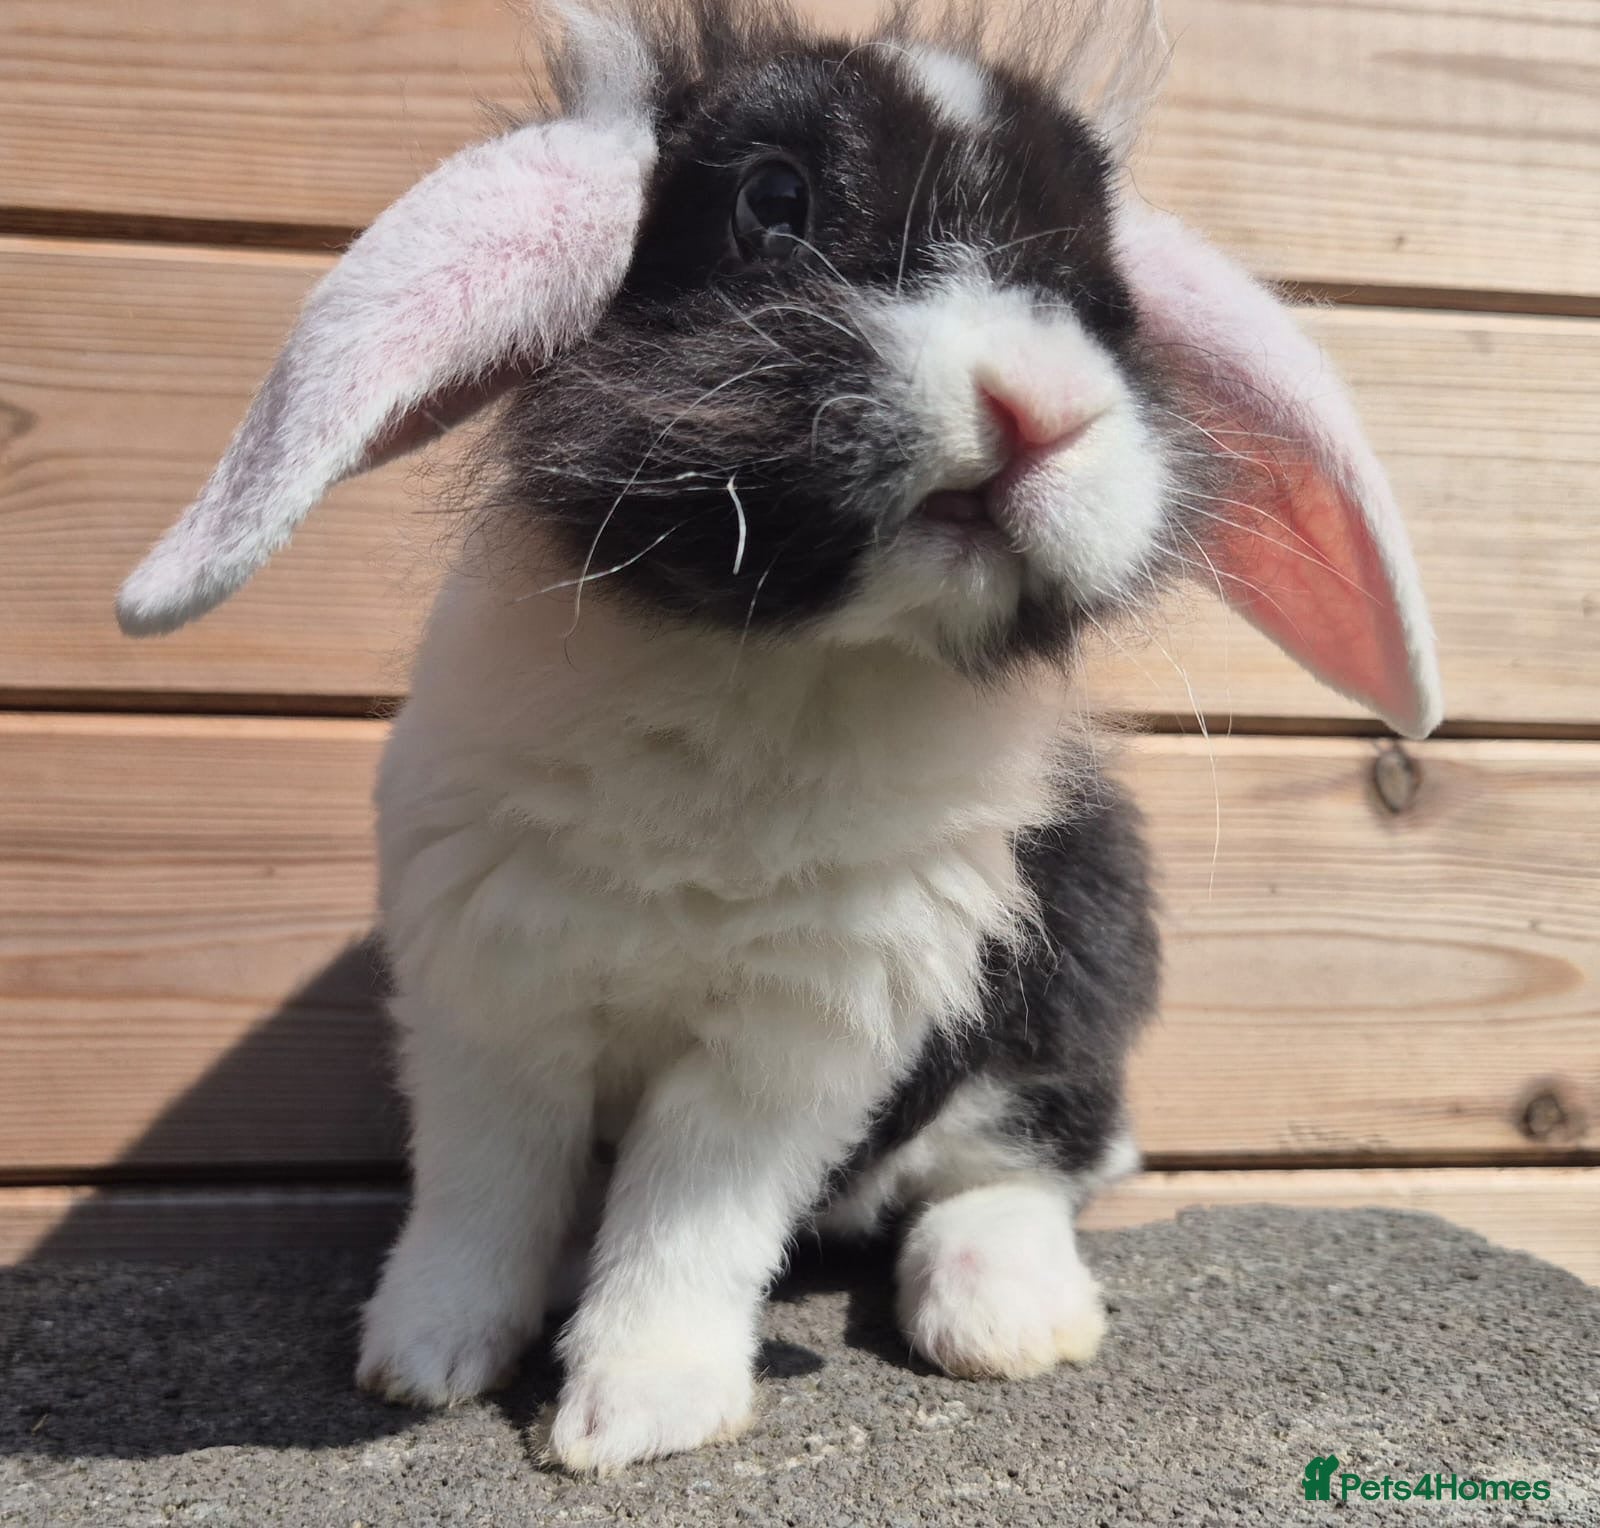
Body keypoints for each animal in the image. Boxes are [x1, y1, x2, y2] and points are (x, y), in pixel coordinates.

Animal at [116, 0, 1441, 1473]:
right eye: (773, 202)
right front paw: (425, 1357)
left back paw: (1003, 1313)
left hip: (1075, 965)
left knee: (1035, 1159)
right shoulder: (490, 988)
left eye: (1106, 303)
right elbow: (485, 1184)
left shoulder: (799, 1034)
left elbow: (690, 1219)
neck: (788, 661)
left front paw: (633, 1413)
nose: (1044, 405)